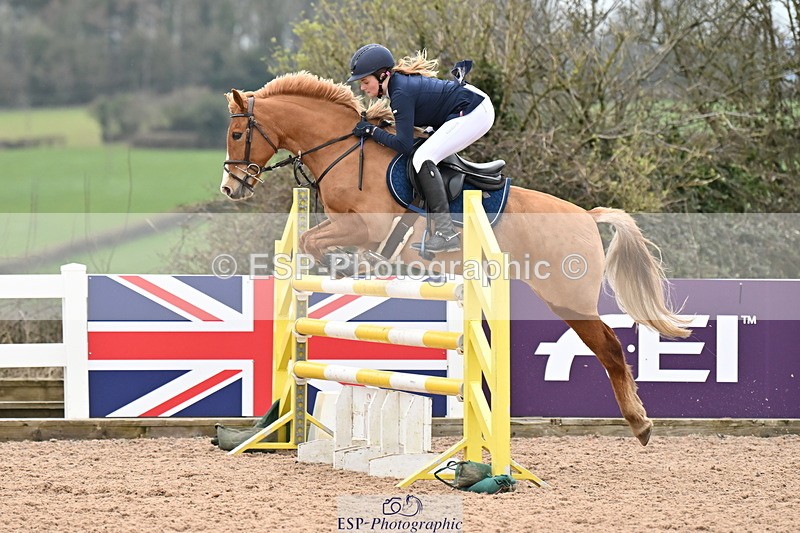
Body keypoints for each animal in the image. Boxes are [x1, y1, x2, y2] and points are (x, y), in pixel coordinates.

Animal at [219, 71, 690, 446]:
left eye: (238, 135)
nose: (231, 188)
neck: (345, 152)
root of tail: (587, 217)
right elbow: (309, 241)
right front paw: (347, 266)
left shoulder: (365, 227)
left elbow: (314, 241)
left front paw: (345, 266)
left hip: (568, 298)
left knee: (610, 347)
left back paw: (640, 424)